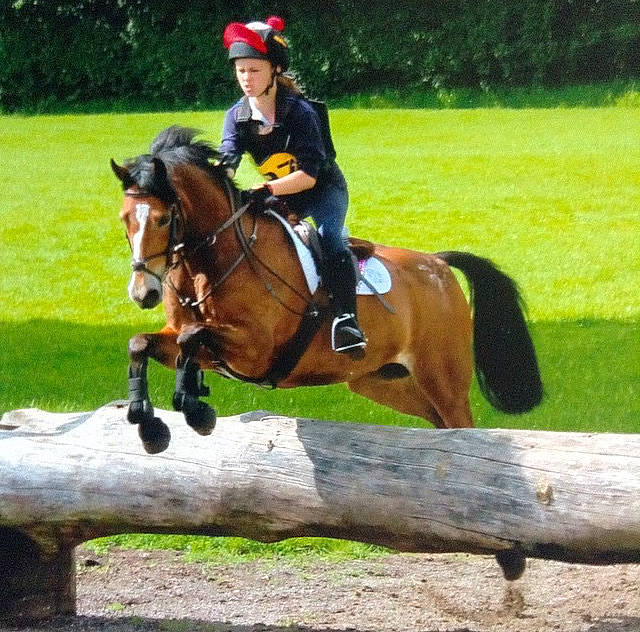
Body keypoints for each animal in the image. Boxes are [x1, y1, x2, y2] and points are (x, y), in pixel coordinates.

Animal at [111, 125, 543, 457]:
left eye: (163, 218)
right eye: (124, 219)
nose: (143, 293)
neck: (210, 261)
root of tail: (437, 264)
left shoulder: (256, 349)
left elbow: (192, 336)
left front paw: (194, 409)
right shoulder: (185, 340)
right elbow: (142, 344)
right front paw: (148, 424)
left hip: (442, 378)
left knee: (462, 423)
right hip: (380, 381)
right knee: (440, 425)